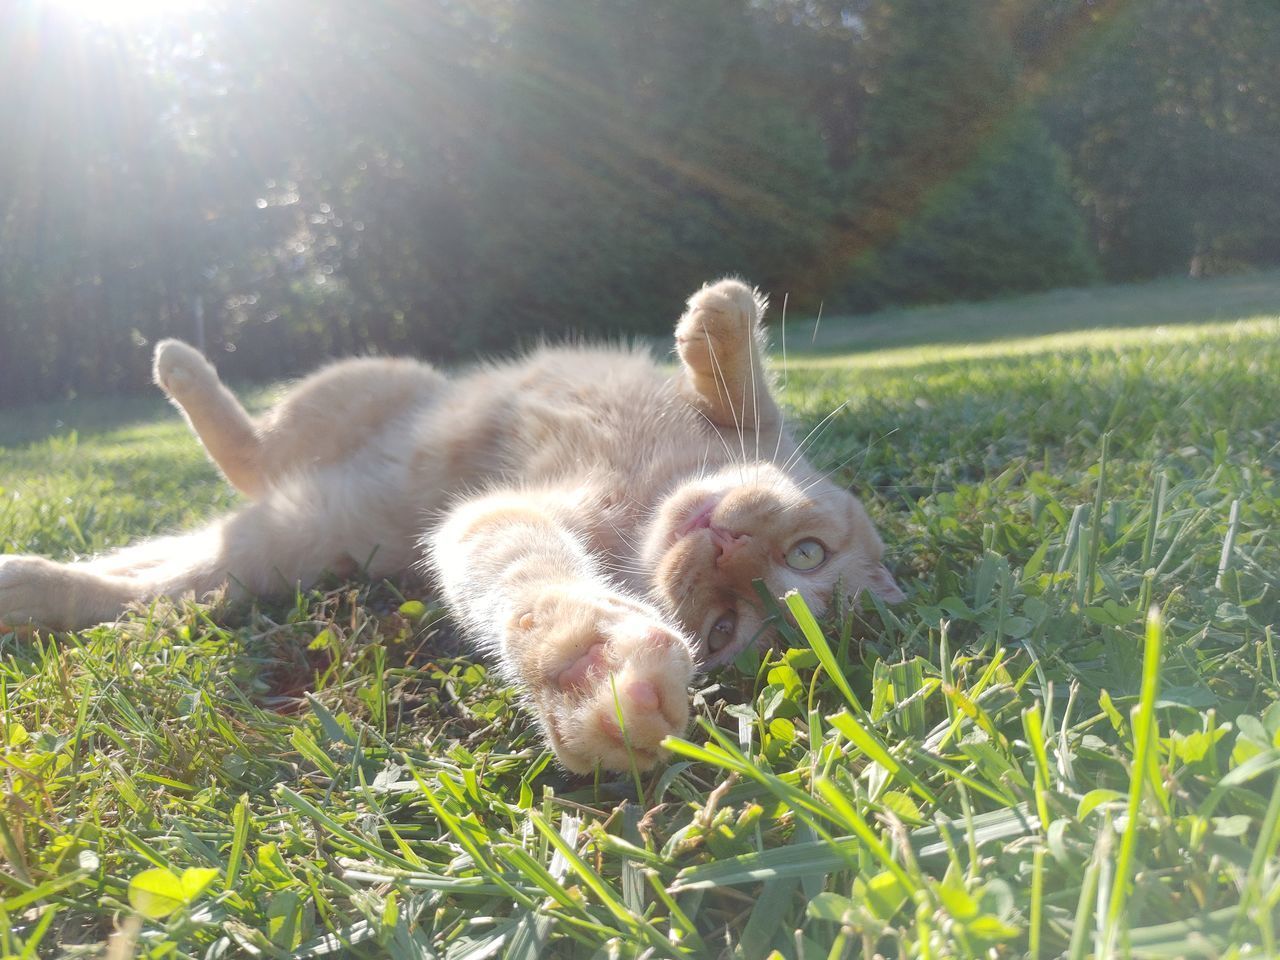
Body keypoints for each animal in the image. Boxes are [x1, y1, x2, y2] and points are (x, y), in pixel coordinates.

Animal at [0, 277, 906, 773]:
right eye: (808, 550)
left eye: (724, 630)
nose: (726, 548)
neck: (649, 496)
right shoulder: (758, 436)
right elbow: (745, 381)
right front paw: (717, 323)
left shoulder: (492, 516)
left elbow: (523, 576)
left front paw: (588, 670)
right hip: (366, 383)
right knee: (254, 450)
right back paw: (179, 364)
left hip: (265, 557)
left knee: (161, 562)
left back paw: (26, 584)